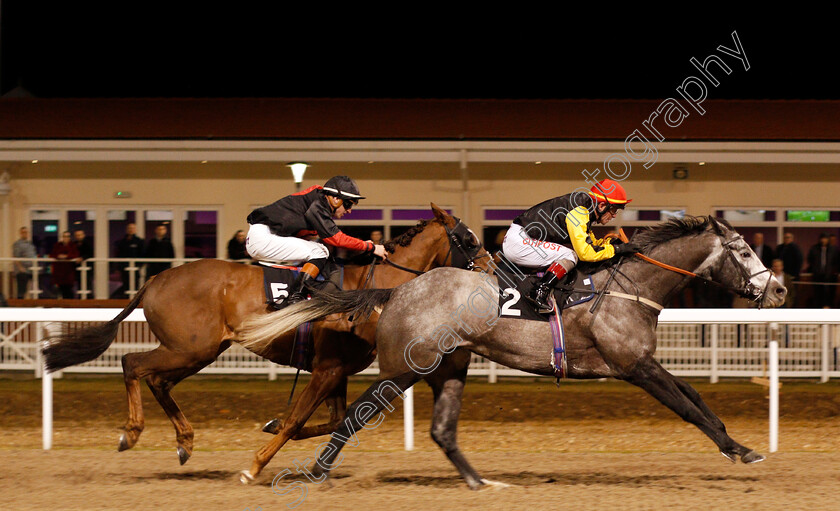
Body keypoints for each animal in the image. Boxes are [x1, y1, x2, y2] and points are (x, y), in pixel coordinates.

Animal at [42, 203, 488, 480]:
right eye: (469, 240)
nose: (492, 269)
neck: (374, 289)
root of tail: (156, 277)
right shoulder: (327, 369)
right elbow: (297, 420)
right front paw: (253, 467)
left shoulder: (336, 370)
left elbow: (329, 420)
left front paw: (271, 429)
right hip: (190, 347)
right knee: (133, 365)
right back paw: (131, 433)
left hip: (197, 351)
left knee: (157, 380)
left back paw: (184, 442)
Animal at [241, 216, 788, 488]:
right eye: (743, 251)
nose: (779, 290)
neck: (629, 287)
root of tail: (397, 291)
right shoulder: (633, 365)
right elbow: (689, 408)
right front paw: (739, 448)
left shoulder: (643, 361)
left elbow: (695, 395)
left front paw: (739, 446)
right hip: (401, 370)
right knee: (354, 415)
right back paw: (312, 470)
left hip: (449, 367)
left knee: (441, 430)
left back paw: (483, 485)